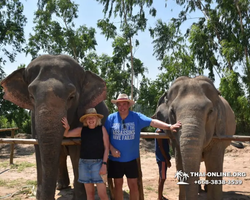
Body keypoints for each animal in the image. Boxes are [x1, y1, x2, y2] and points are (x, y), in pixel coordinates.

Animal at [0, 54, 109, 199]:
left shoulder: (81, 111)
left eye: (72, 96)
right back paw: (61, 186)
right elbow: (39, 148)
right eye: (31, 96)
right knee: (61, 155)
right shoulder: (34, 118)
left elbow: (77, 151)